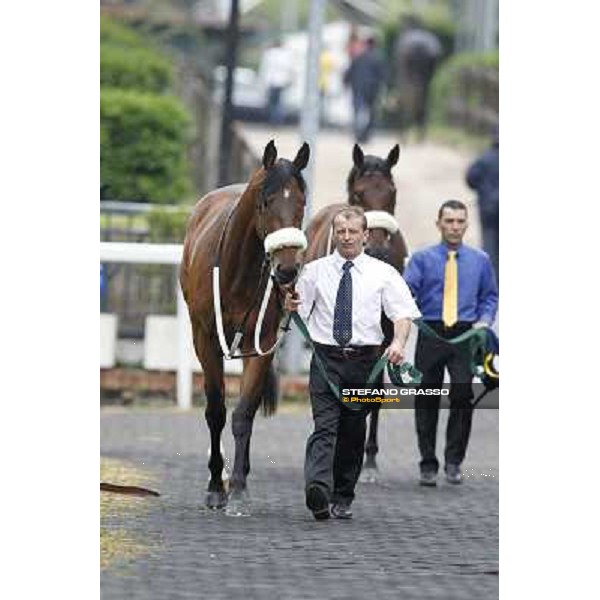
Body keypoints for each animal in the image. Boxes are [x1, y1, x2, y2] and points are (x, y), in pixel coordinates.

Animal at [179, 141, 310, 516]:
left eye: (301, 203)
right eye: (266, 202)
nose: (287, 270)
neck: (237, 272)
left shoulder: (262, 343)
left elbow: (244, 414)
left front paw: (237, 489)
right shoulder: (205, 339)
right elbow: (216, 411)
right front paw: (215, 486)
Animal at [304, 145, 408, 482]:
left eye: (392, 193)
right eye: (360, 194)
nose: (376, 250)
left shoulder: (383, 337)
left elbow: (373, 392)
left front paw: (369, 460)